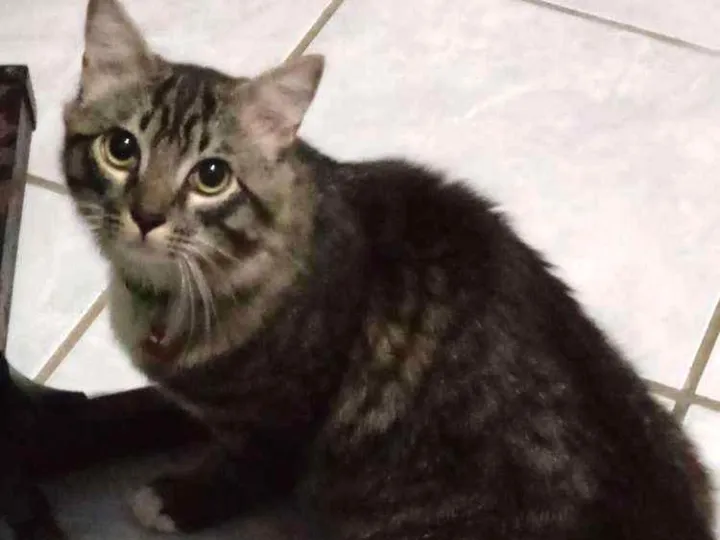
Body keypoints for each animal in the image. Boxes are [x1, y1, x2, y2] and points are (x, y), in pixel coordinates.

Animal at [62, 0, 715, 538]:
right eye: (121, 149)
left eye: (212, 176)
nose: (146, 215)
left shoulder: (284, 422)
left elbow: (244, 472)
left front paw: (177, 499)